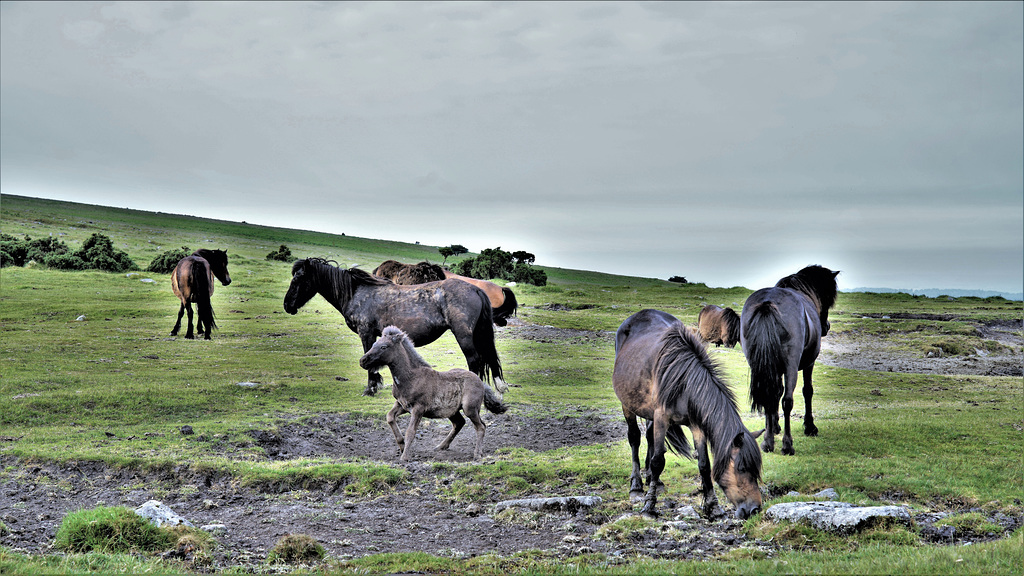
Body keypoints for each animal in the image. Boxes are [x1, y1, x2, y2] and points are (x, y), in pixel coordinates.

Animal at [282, 259, 509, 397]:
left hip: (464, 335)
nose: (287, 305)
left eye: (298, 278)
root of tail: (476, 289)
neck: (357, 292)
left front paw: (371, 388)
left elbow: (369, 358)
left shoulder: (366, 333)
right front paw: (376, 385)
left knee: (474, 360)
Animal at [358, 325, 509, 459]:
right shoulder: (402, 404)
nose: (363, 361)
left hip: (469, 408)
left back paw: (477, 454)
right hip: (451, 410)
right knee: (459, 423)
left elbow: (411, 431)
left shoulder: (418, 408)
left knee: (481, 427)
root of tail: (481, 382)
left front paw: (404, 457)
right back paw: (440, 446)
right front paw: (401, 445)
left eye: (384, 347)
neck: (410, 377)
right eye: (374, 343)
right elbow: (389, 417)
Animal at [610, 307, 765, 518]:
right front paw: (649, 506)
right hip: (627, 405)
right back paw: (636, 485)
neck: (684, 381)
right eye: (741, 467)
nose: (755, 509)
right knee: (634, 438)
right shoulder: (662, 418)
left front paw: (713, 506)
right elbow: (658, 461)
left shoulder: (696, 425)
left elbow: (704, 464)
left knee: (649, 437)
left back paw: (653, 481)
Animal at [745, 262, 839, 455]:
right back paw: (787, 445)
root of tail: (768, 303)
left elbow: (775, 393)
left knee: (770, 396)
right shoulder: (809, 363)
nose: (826, 326)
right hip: (791, 366)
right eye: (827, 297)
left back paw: (767, 442)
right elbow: (807, 391)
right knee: (787, 401)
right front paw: (809, 427)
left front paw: (774, 427)